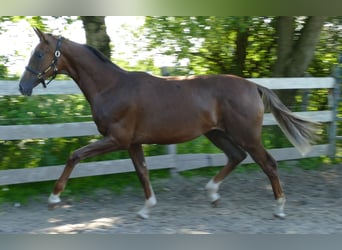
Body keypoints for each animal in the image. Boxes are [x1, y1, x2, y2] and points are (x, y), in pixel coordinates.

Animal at [18, 27, 318, 219]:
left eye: (39, 54)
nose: (23, 87)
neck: (111, 87)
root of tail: (254, 86)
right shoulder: (132, 143)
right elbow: (142, 171)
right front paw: (146, 208)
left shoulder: (117, 139)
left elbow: (75, 155)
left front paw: (54, 199)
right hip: (217, 133)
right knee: (236, 156)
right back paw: (212, 194)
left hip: (246, 135)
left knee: (268, 163)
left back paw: (279, 208)